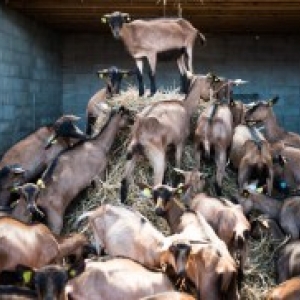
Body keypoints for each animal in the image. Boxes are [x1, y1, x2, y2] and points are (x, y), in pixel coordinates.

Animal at [120, 72, 238, 203]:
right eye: (209, 86)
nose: (207, 98)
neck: (185, 106)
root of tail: (139, 128)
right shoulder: (180, 142)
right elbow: (177, 165)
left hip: (132, 155)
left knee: (124, 182)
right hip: (157, 158)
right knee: (156, 185)